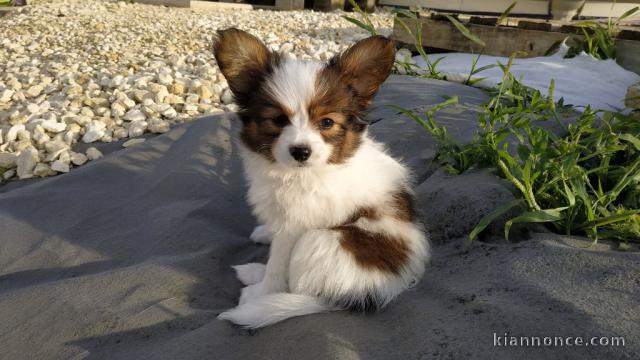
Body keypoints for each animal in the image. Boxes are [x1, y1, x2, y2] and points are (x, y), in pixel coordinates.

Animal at [215, 29, 430, 328]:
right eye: (278, 120)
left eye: (327, 123)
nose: (300, 151)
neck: (297, 173)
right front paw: (265, 232)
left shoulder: (296, 224)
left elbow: (277, 266)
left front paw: (262, 292)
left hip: (319, 241)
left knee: (298, 286)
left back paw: (256, 281)